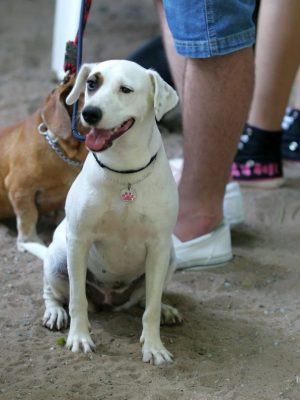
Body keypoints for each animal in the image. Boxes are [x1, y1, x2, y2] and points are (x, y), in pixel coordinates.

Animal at [26, 60, 180, 366]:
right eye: (92, 83)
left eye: (126, 89)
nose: (90, 113)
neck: (124, 171)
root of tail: (110, 299)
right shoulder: (79, 240)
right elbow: (77, 299)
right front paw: (79, 338)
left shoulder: (158, 246)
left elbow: (151, 308)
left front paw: (154, 346)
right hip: (59, 257)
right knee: (54, 292)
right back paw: (55, 312)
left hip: (170, 256)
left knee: (147, 298)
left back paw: (166, 309)